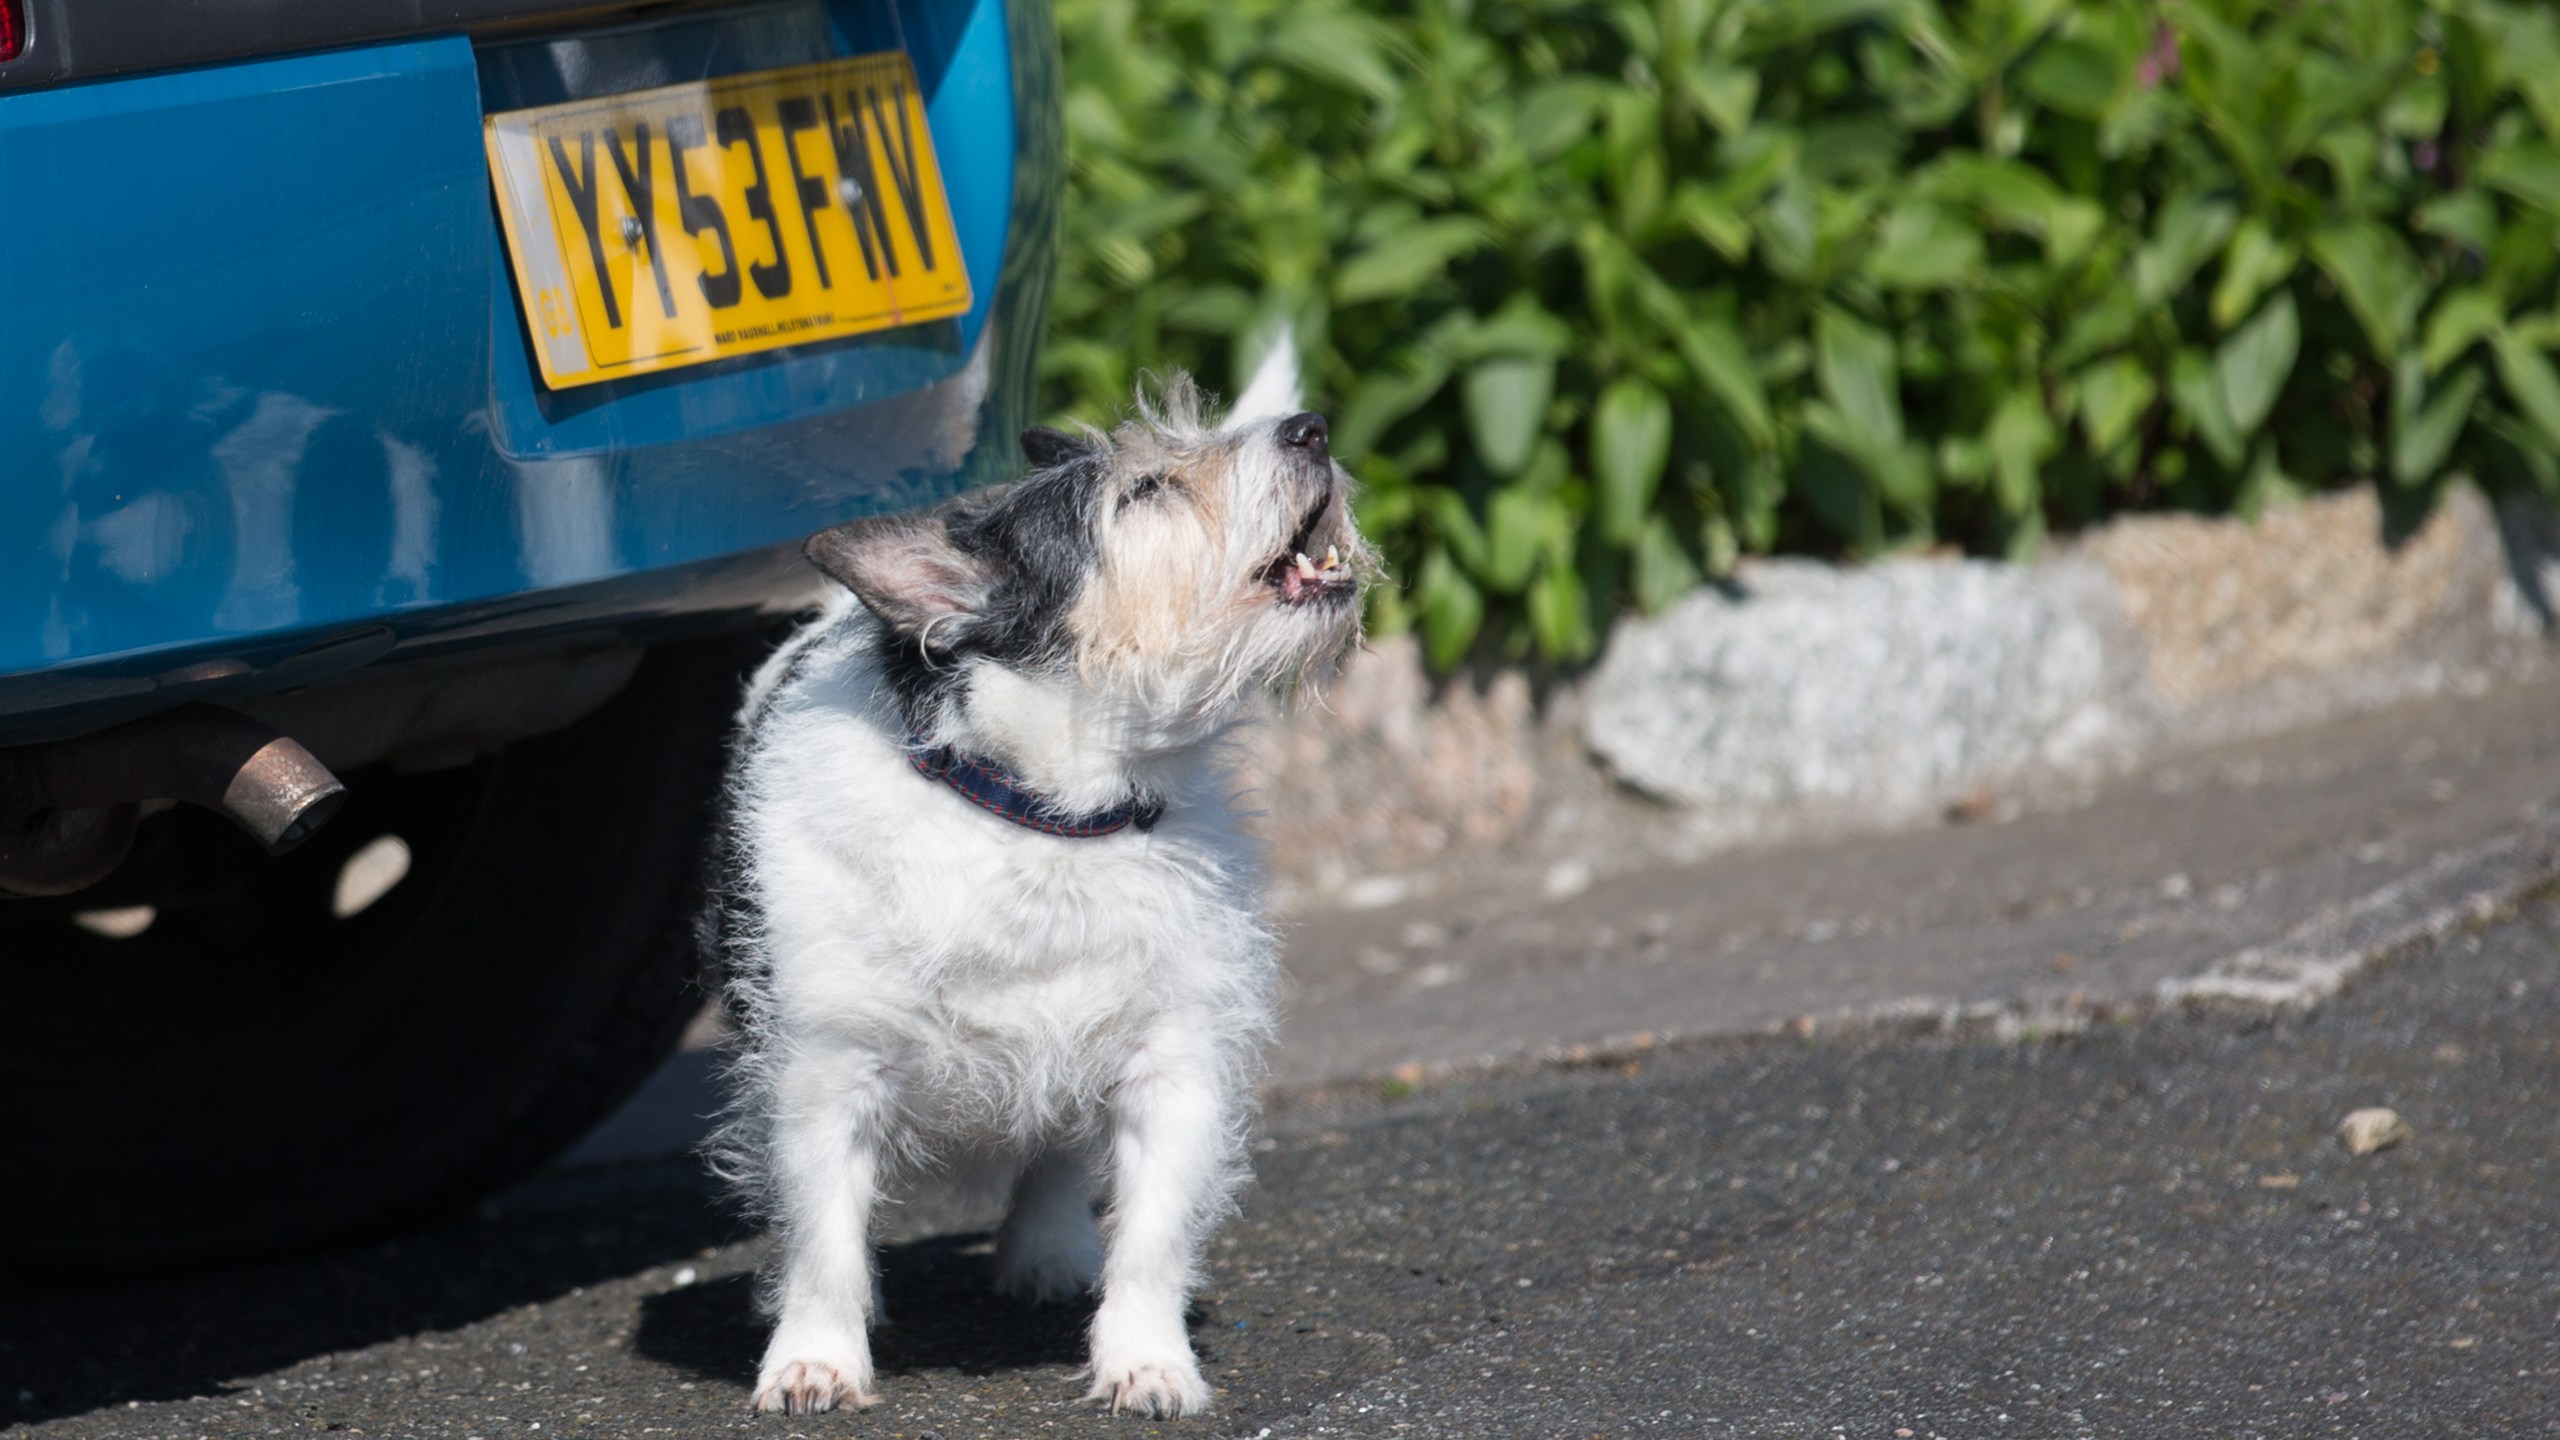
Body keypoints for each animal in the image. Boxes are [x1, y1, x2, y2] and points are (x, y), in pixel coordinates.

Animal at [701, 356, 1372, 1414]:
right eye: (1144, 491)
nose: (1310, 428)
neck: (1045, 816)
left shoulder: (1173, 1064)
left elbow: (1152, 1237)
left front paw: (1146, 1360)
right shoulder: (822, 1074)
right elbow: (823, 1243)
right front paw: (813, 1359)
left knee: (1054, 1152)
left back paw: (1049, 1249)